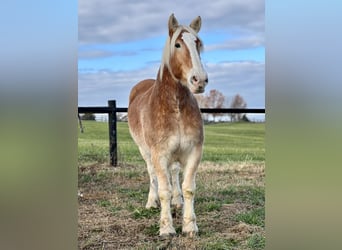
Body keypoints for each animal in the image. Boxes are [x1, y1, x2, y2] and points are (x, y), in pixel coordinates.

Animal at [128, 13, 208, 236]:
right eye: (178, 44)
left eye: (198, 43)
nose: (199, 80)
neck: (176, 106)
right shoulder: (159, 154)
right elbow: (163, 189)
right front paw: (166, 228)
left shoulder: (193, 151)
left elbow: (189, 188)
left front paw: (189, 225)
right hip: (145, 152)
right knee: (152, 176)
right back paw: (151, 202)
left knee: (174, 174)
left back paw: (177, 201)